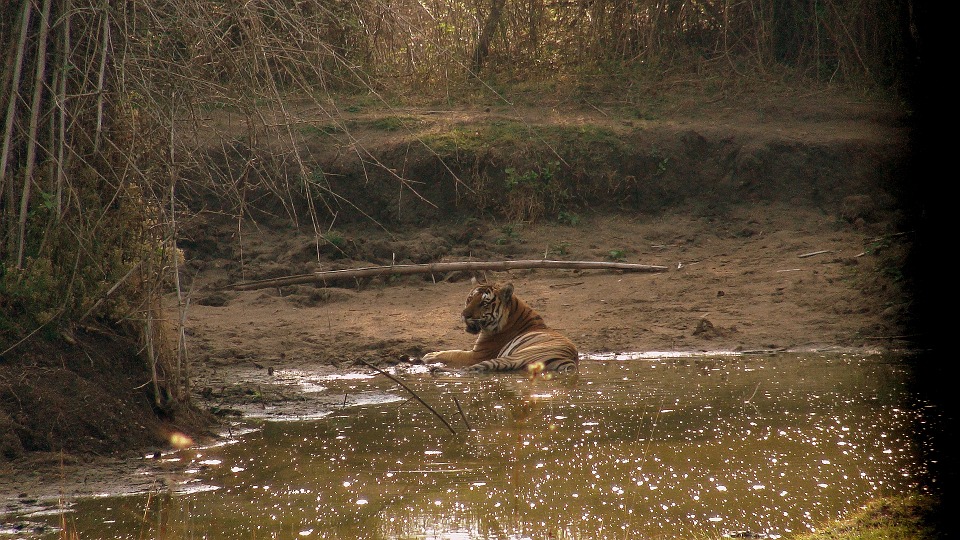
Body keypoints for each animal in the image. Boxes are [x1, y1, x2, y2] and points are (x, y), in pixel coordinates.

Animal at [420, 280, 576, 374]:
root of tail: (567, 361)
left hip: (513, 356)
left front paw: (430, 355)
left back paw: (436, 370)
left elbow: (453, 352)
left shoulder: (478, 355)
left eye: (484, 303)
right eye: (470, 299)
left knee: (470, 369)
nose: (464, 315)